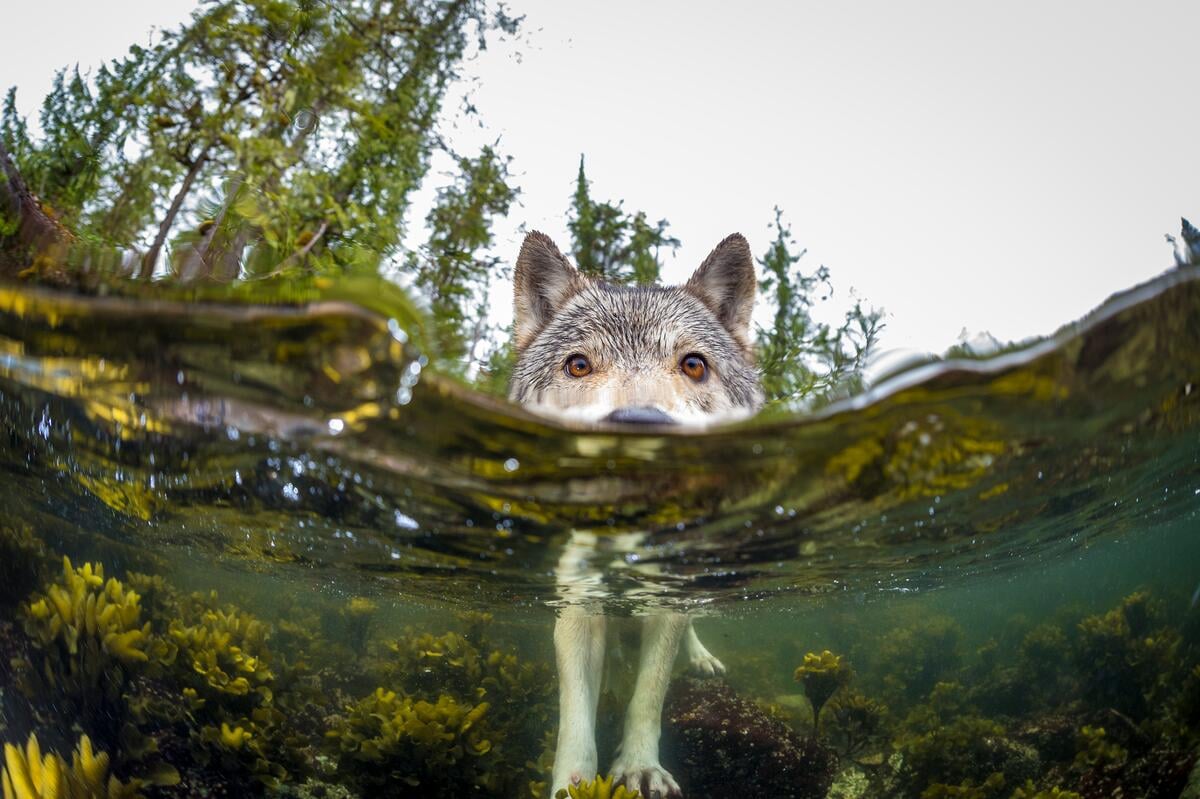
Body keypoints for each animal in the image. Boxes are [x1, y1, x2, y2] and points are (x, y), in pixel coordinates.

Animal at [507, 231, 765, 798]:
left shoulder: (666, 601)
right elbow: (576, 715)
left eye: (693, 364)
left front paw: (640, 769)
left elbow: (648, 694)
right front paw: (574, 784)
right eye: (579, 365)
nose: (640, 426)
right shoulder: (578, 605)